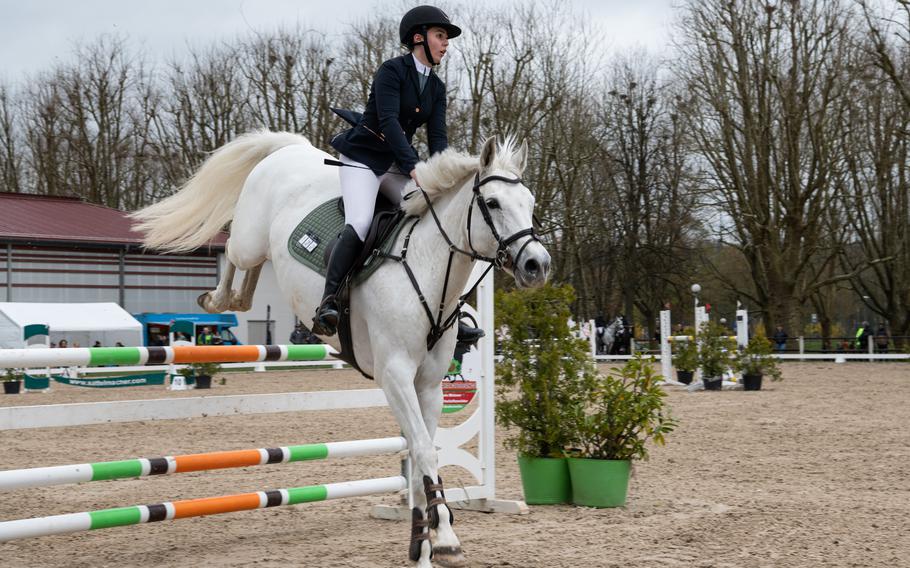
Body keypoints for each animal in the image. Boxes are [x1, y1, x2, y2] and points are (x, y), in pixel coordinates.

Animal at [131, 130, 552, 568]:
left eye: (530, 203)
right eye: (493, 203)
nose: (537, 266)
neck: (428, 267)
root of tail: (290, 148)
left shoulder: (429, 386)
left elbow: (423, 453)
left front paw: (426, 543)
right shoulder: (394, 375)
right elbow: (423, 449)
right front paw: (445, 539)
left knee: (252, 270)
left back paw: (239, 299)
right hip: (249, 237)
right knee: (232, 251)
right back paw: (218, 299)